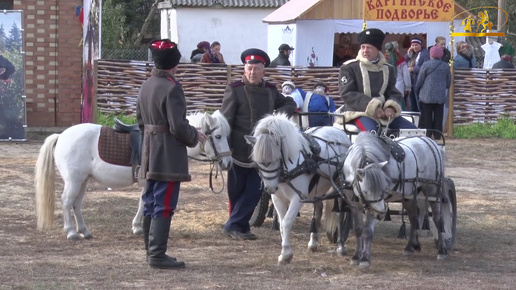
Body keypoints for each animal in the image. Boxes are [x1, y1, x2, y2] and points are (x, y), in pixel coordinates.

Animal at [34, 110, 232, 239]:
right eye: (218, 136)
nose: (228, 163)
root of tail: (61, 136)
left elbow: (143, 202)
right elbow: (143, 203)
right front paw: (138, 227)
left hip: (82, 181)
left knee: (76, 203)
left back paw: (84, 231)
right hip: (74, 181)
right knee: (67, 202)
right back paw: (71, 232)